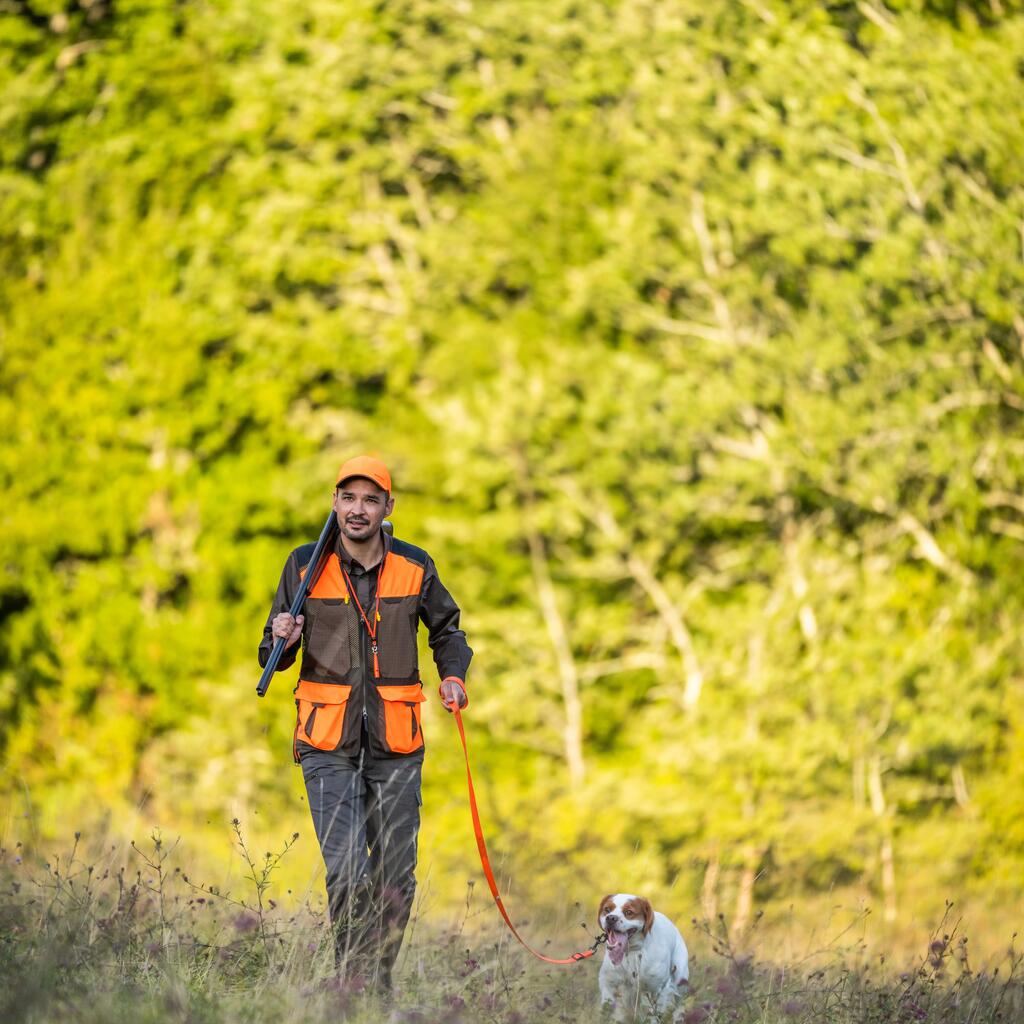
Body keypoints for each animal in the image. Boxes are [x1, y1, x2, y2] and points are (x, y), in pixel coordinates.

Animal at [598, 888, 688, 1024]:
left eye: (629, 912)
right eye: (607, 909)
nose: (611, 918)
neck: (631, 952)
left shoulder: (657, 989)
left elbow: (654, 1015)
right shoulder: (608, 984)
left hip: (680, 979)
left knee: (680, 1007)